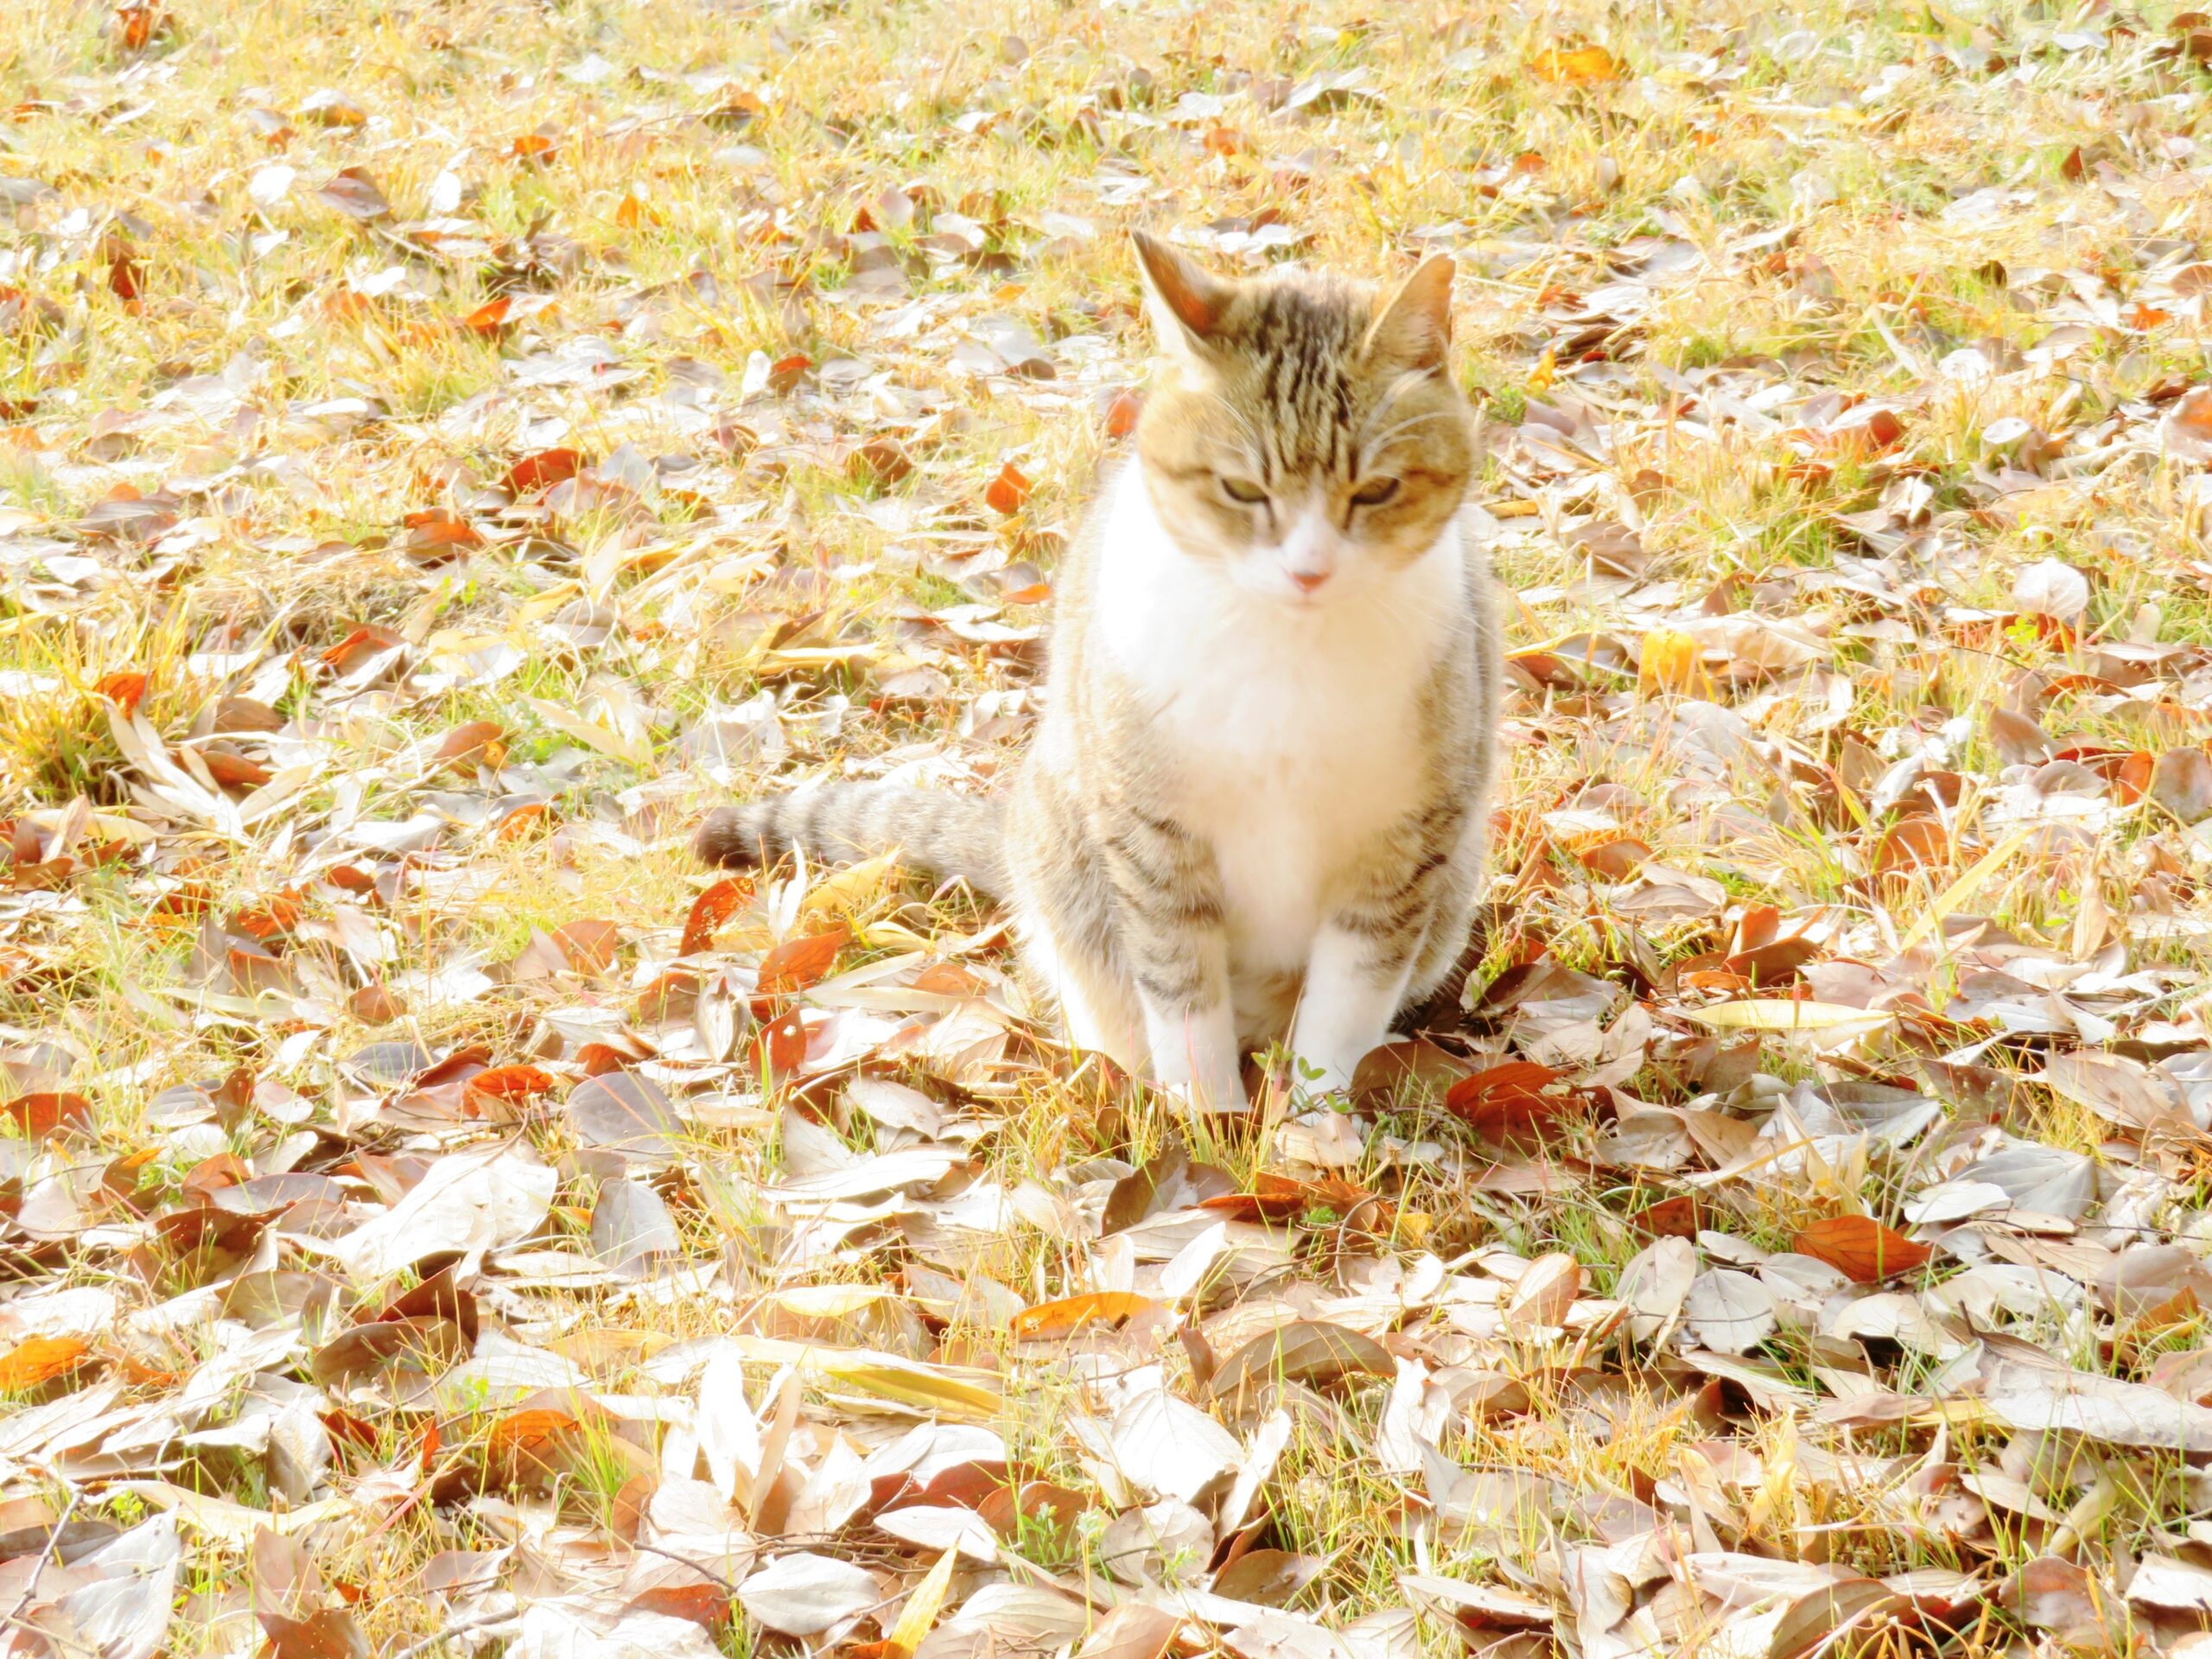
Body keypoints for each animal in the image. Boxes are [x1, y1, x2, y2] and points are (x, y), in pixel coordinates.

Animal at [703, 234, 1503, 1110]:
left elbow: (1342, 1009)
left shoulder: (1402, 847)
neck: (1287, 653)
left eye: (1379, 489)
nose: (1309, 571)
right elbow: (1181, 991)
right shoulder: (1151, 833)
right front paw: (1209, 1121)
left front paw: (1312, 1126)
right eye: (1241, 488)